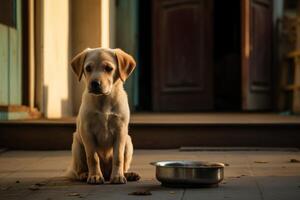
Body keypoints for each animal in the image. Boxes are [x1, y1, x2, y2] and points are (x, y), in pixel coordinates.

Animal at [67, 47, 139, 184]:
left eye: (109, 68)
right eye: (88, 68)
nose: (95, 83)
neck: (104, 99)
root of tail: (106, 174)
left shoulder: (121, 131)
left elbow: (118, 158)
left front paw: (117, 176)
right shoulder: (87, 132)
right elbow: (93, 157)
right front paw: (95, 176)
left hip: (128, 142)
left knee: (123, 165)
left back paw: (128, 174)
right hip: (77, 145)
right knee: (77, 171)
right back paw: (85, 174)